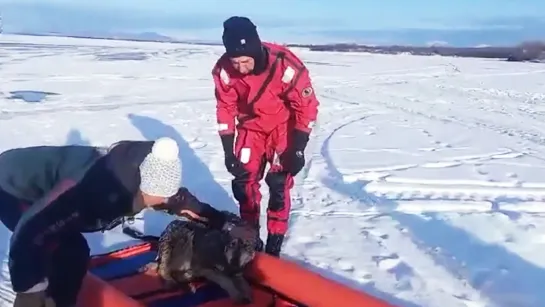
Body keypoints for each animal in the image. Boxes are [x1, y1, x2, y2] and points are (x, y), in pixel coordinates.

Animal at [125, 214, 258, 306]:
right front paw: (238, 295)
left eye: (247, 246)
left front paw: (246, 292)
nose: (235, 267)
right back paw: (171, 282)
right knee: (162, 268)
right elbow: (227, 281)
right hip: (180, 241)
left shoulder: (235, 272)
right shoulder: (208, 267)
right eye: (233, 243)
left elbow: (242, 282)